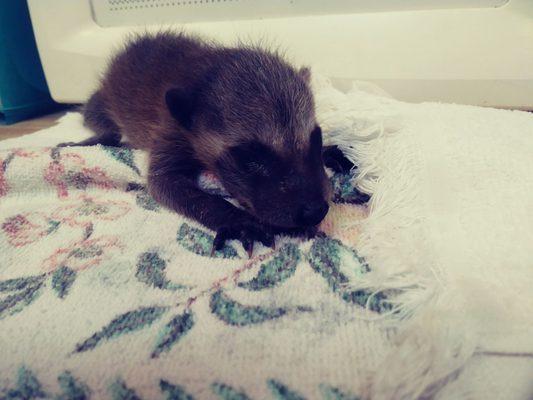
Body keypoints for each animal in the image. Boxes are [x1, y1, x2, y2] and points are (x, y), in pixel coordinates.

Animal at [68, 32, 356, 255]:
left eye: (316, 139)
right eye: (251, 158)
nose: (315, 211)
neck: (204, 70)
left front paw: (330, 152)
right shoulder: (170, 131)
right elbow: (163, 183)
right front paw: (235, 218)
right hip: (103, 100)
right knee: (96, 117)